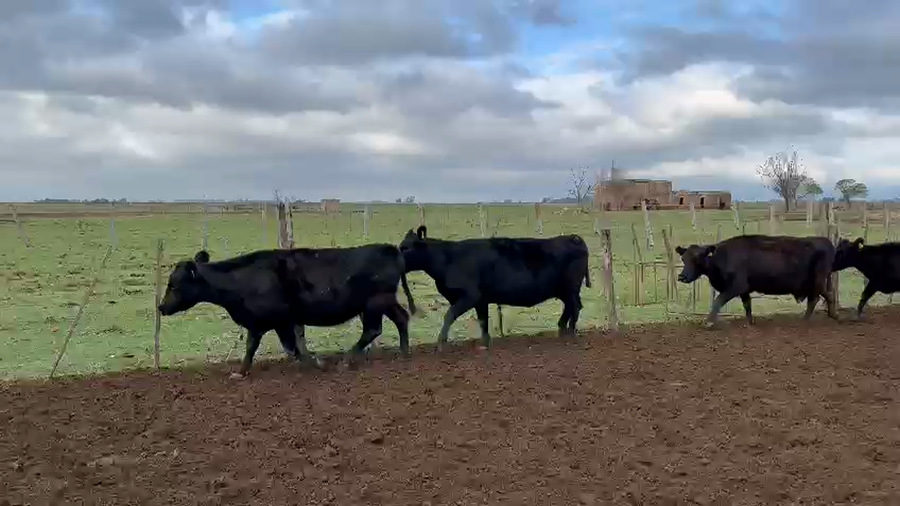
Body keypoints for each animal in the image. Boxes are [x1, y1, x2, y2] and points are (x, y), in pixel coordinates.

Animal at [158, 245, 417, 378]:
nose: (161, 307)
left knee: (373, 329)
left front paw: (317, 363)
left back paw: (347, 360)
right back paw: (404, 353)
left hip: (374, 303)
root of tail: (391, 249)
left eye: (174, 284)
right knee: (401, 318)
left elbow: (285, 347)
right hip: (385, 301)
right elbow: (268, 347)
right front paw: (241, 372)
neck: (241, 280)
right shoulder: (268, 322)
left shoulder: (275, 321)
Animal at [398, 225, 591, 351]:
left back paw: (570, 333)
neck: (448, 259)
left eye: (405, 248)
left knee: (575, 306)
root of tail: (573, 237)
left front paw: (440, 343)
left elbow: (449, 315)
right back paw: (562, 329)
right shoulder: (480, 300)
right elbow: (483, 320)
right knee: (572, 306)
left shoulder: (470, 296)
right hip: (565, 290)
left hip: (570, 288)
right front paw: (485, 343)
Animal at [674, 234, 838, 328]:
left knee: (816, 298)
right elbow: (747, 305)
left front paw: (708, 322)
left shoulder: (736, 287)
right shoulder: (744, 290)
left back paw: (806, 320)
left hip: (816, 281)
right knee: (826, 296)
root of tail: (825, 241)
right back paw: (832, 315)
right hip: (815, 283)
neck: (722, 257)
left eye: (697, 258)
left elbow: (717, 301)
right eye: (683, 258)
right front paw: (750, 323)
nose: (681, 277)